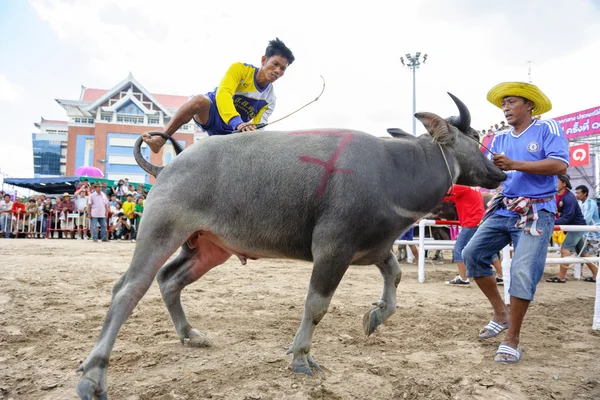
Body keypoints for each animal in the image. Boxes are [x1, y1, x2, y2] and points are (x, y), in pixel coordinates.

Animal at [75, 93, 506, 396]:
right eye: (474, 138)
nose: (500, 172)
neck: (395, 171)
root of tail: (166, 167)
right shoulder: (333, 249)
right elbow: (316, 306)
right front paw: (301, 357)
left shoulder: (375, 247)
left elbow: (396, 274)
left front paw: (376, 316)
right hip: (161, 230)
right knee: (129, 288)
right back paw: (93, 375)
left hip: (209, 247)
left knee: (170, 280)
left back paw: (189, 334)